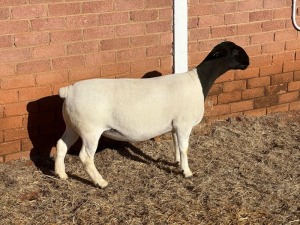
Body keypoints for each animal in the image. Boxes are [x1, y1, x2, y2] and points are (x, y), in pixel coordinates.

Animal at [55, 40, 250, 188]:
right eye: (235, 51)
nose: (248, 62)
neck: (198, 82)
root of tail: (68, 91)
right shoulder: (184, 124)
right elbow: (184, 147)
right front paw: (187, 172)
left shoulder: (175, 125)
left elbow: (176, 144)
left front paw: (177, 163)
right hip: (90, 130)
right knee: (86, 157)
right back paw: (101, 182)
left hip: (72, 126)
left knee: (61, 145)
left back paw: (61, 174)